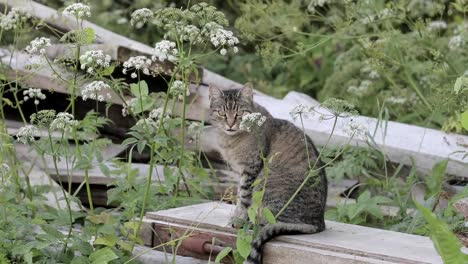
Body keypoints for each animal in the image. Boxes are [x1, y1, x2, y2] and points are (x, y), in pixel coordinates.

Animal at [208, 83, 326, 262]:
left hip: (266, 185)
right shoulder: (239, 172)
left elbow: (243, 198)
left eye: (239, 113)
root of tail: (319, 222)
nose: (230, 124)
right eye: (222, 113)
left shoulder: (250, 170)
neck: (230, 140)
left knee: (269, 222)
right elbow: (239, 197)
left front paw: (238, 219)